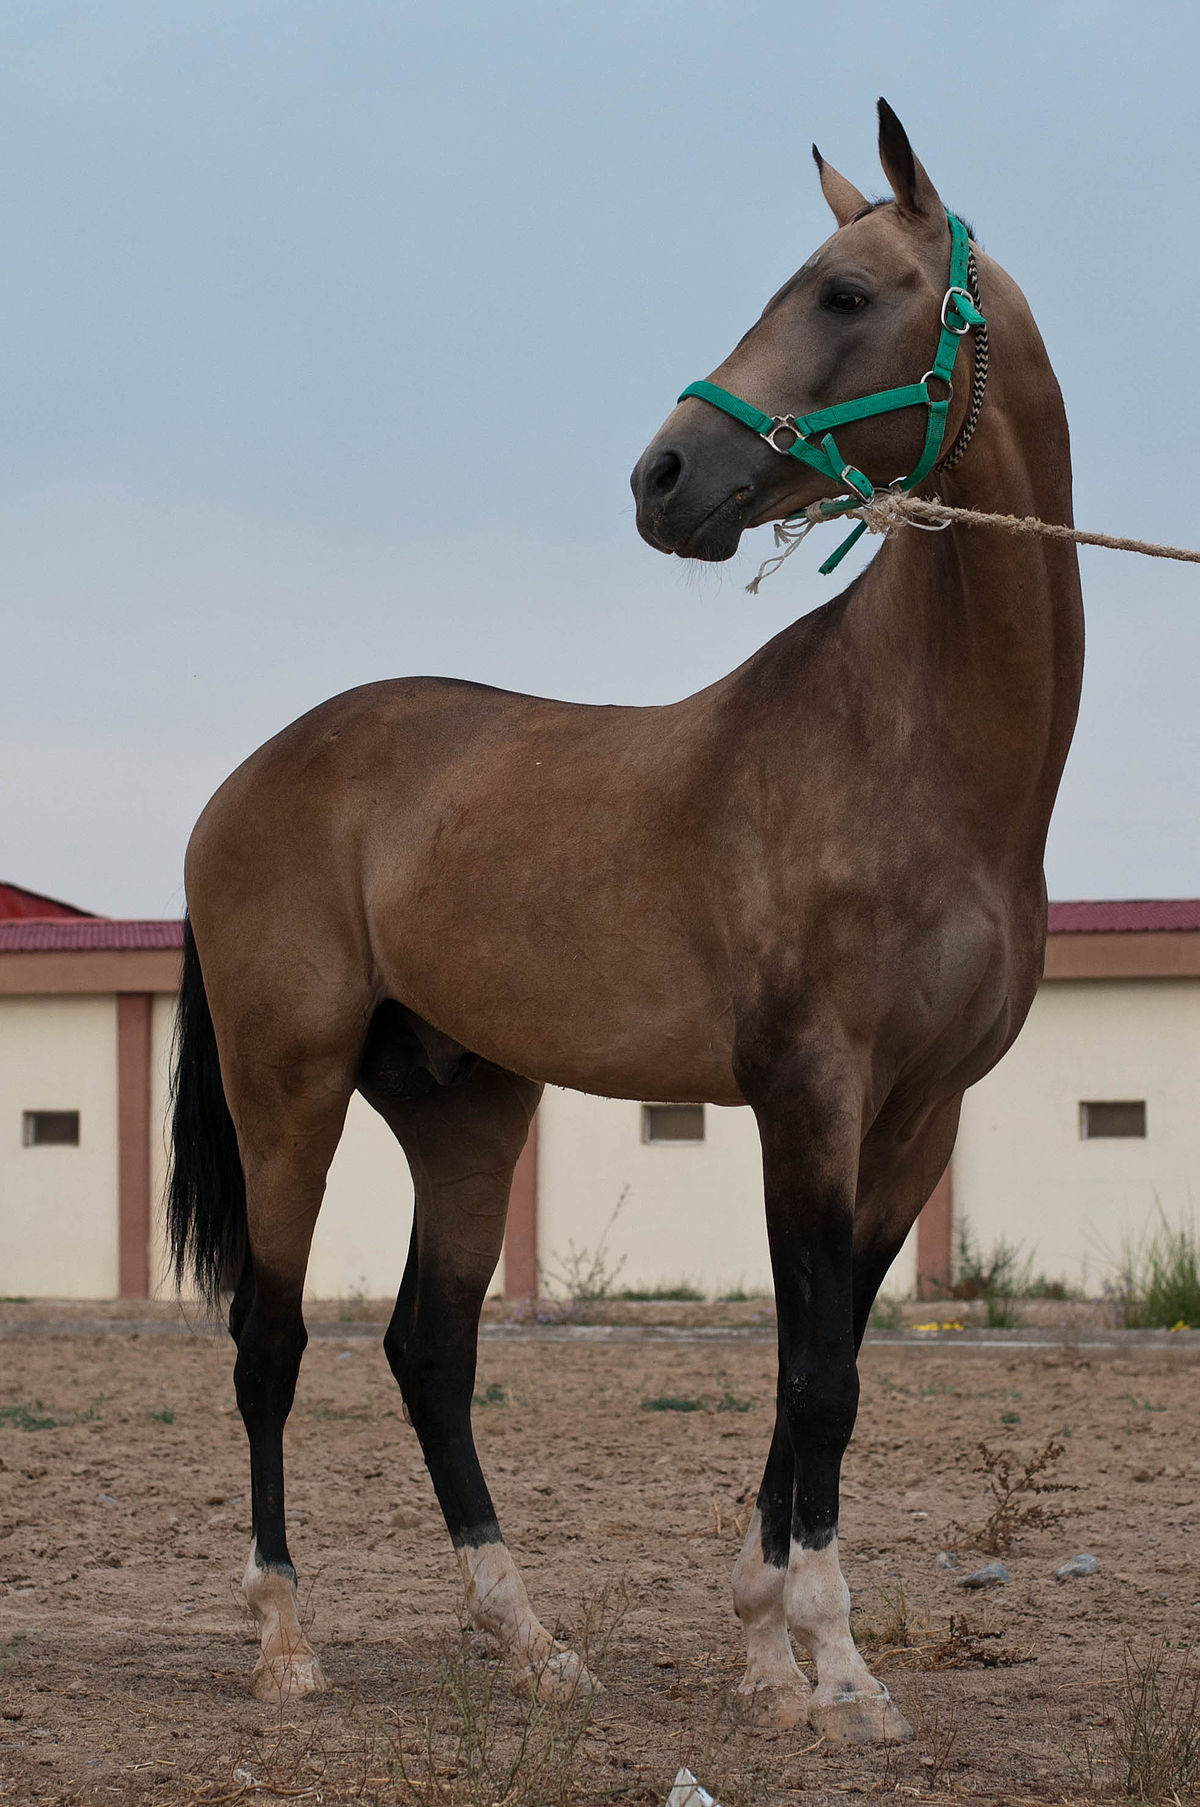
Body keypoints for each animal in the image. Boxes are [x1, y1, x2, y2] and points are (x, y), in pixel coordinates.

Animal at [166, 102, 1077, 1749]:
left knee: (430, 1348)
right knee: (271, 1343)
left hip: (466, 1107)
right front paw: (833, 1664)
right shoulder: (808, 1095)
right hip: (290, 1087)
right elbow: (814, 1376)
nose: (662, 476)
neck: (912, 753)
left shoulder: (916, 1119)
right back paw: (283, 1642)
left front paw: (768, 1648)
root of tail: (251, 774)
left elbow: (825, 1363)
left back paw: (531, 1644)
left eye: (846, 293)